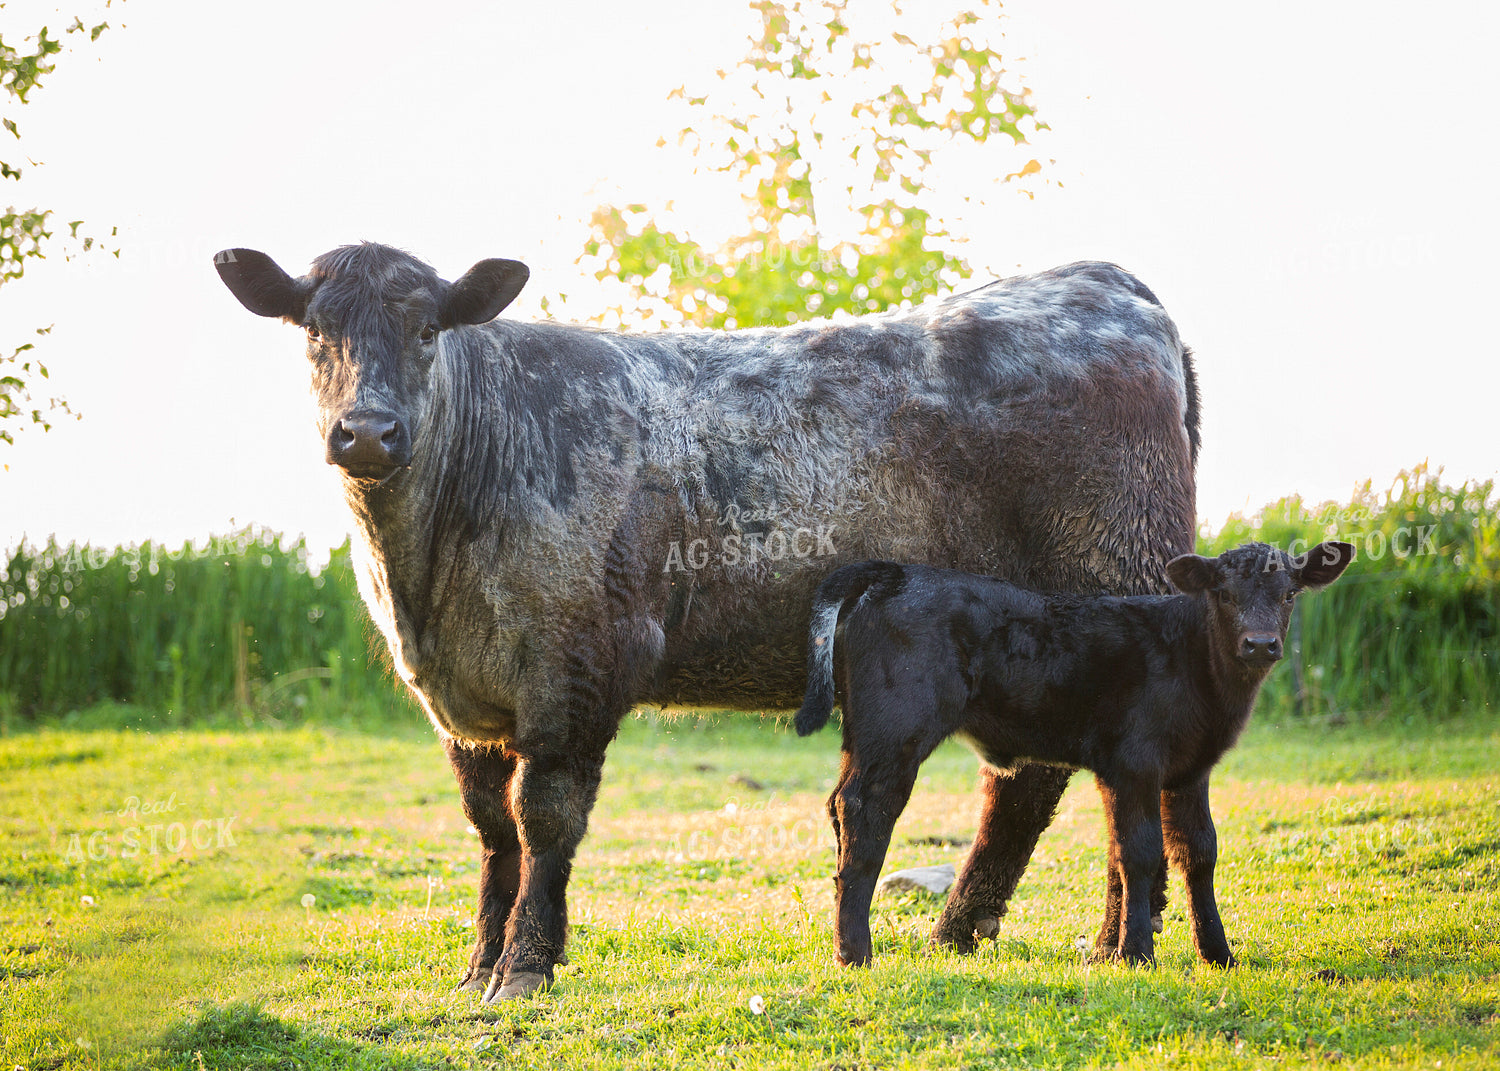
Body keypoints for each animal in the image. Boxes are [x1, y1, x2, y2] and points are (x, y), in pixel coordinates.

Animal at [213, 242, 1199, 1001]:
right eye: (314, 330)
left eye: (427, 330)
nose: (367, 433)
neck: (425, 577)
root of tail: (1104, 282)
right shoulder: (461, 701)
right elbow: (492, 831)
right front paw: (476, 966)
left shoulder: (577, 665)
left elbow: (545, 820)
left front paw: (525, 967)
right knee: (1051, 780)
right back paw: (1050, 940)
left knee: (1089, 779)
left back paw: (1083, 942)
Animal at [794, 541, 1355, 968]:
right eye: (1222, 593)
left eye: (1289, 593)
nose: (1260, 644)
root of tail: (896, 571)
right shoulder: (1132, 764)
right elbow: (1138, 852)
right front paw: (1135, 954)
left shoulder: (1189, 770)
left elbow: (1198, 851)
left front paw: (1218, 955)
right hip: (898, 728)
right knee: (867, 810)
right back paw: (855, 953)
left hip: (864, 734)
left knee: (839, 806)